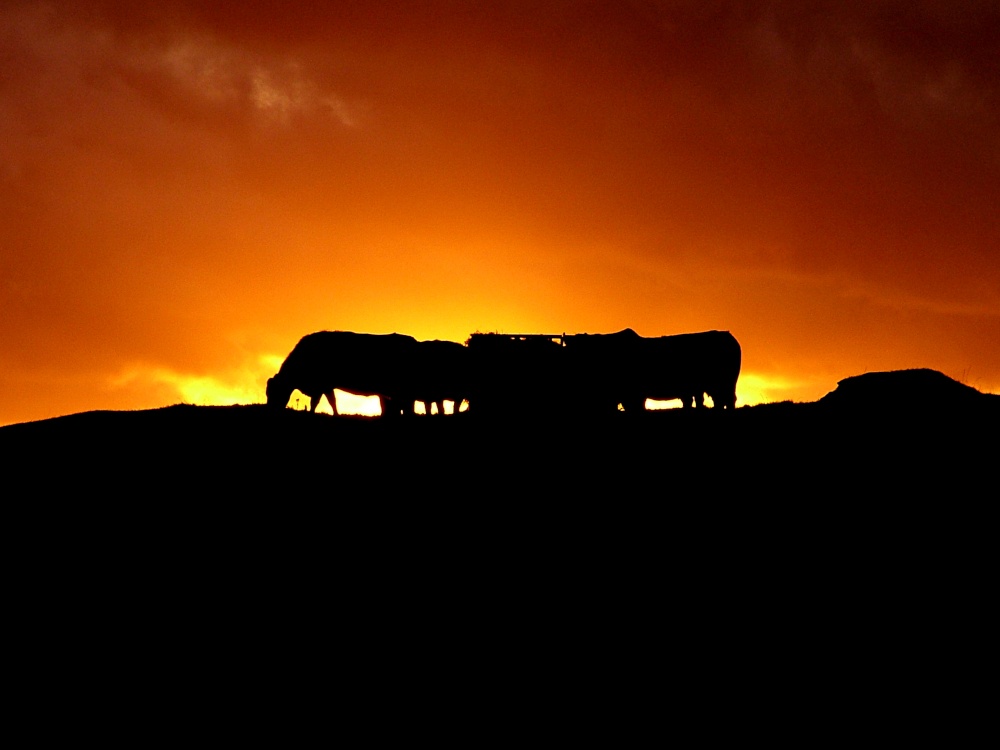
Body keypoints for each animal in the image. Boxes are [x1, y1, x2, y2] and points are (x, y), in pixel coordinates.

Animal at [264, 334, 420, 418]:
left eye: (275, 392)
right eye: (267, 393)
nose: (270, 409)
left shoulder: (322, 385)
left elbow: (321, 402)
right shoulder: (325, 386)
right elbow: (328, 401)